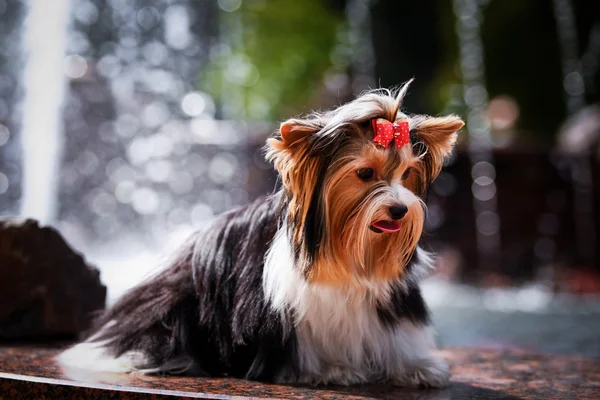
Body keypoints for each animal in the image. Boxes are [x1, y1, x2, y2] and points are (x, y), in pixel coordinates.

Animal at [57, 82, 464, 388]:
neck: (344, 253)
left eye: (407, 174)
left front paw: (416, 367)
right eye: (365, 174)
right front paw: (332, 369)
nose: (399, 209)